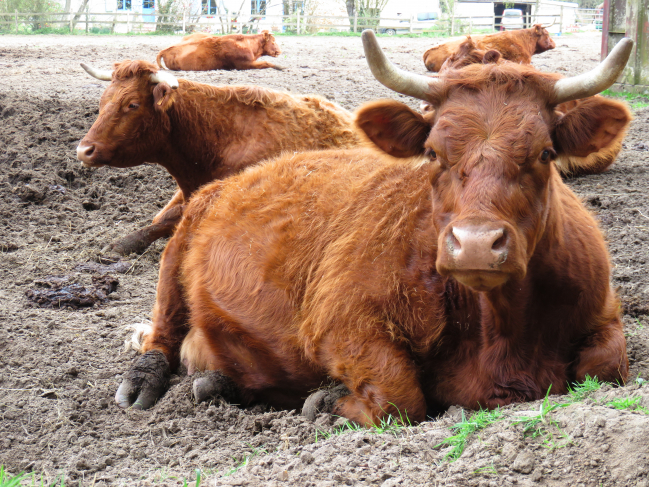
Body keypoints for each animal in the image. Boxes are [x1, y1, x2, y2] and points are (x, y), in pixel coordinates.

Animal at [156, 30, 284, 72]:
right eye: (273, 41)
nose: (280, 51)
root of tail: (166, 50)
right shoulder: (245, 64)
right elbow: (265, 63)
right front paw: (281, 67)